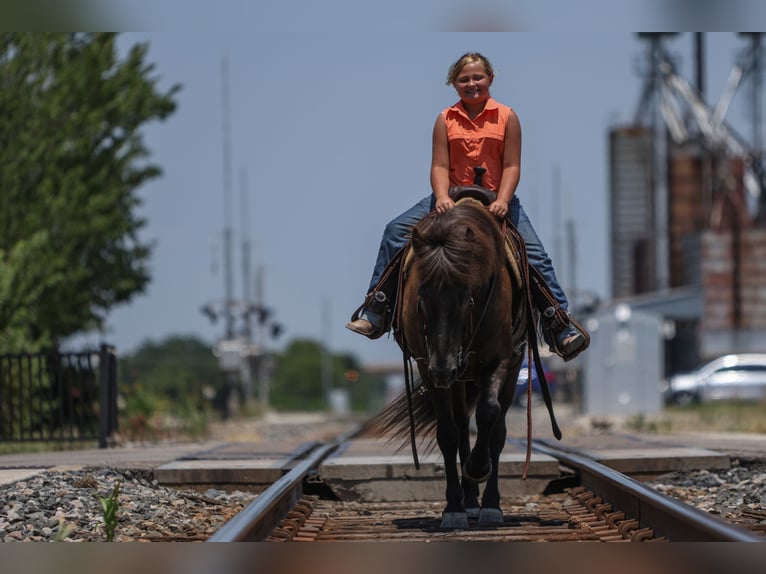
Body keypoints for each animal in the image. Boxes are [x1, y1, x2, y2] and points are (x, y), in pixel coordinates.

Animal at [382, 198, 540, 532]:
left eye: (467, 296)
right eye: (420, 296)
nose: (444, 369)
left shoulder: (501, 360)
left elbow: (489, 415)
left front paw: (477, 468)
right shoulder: (428, 366)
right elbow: (448, 433)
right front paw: (453, 508)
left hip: (506, 369)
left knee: (497, 432)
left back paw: (490, 504)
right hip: (458, 381)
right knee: (461, 425)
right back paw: (468, 501)